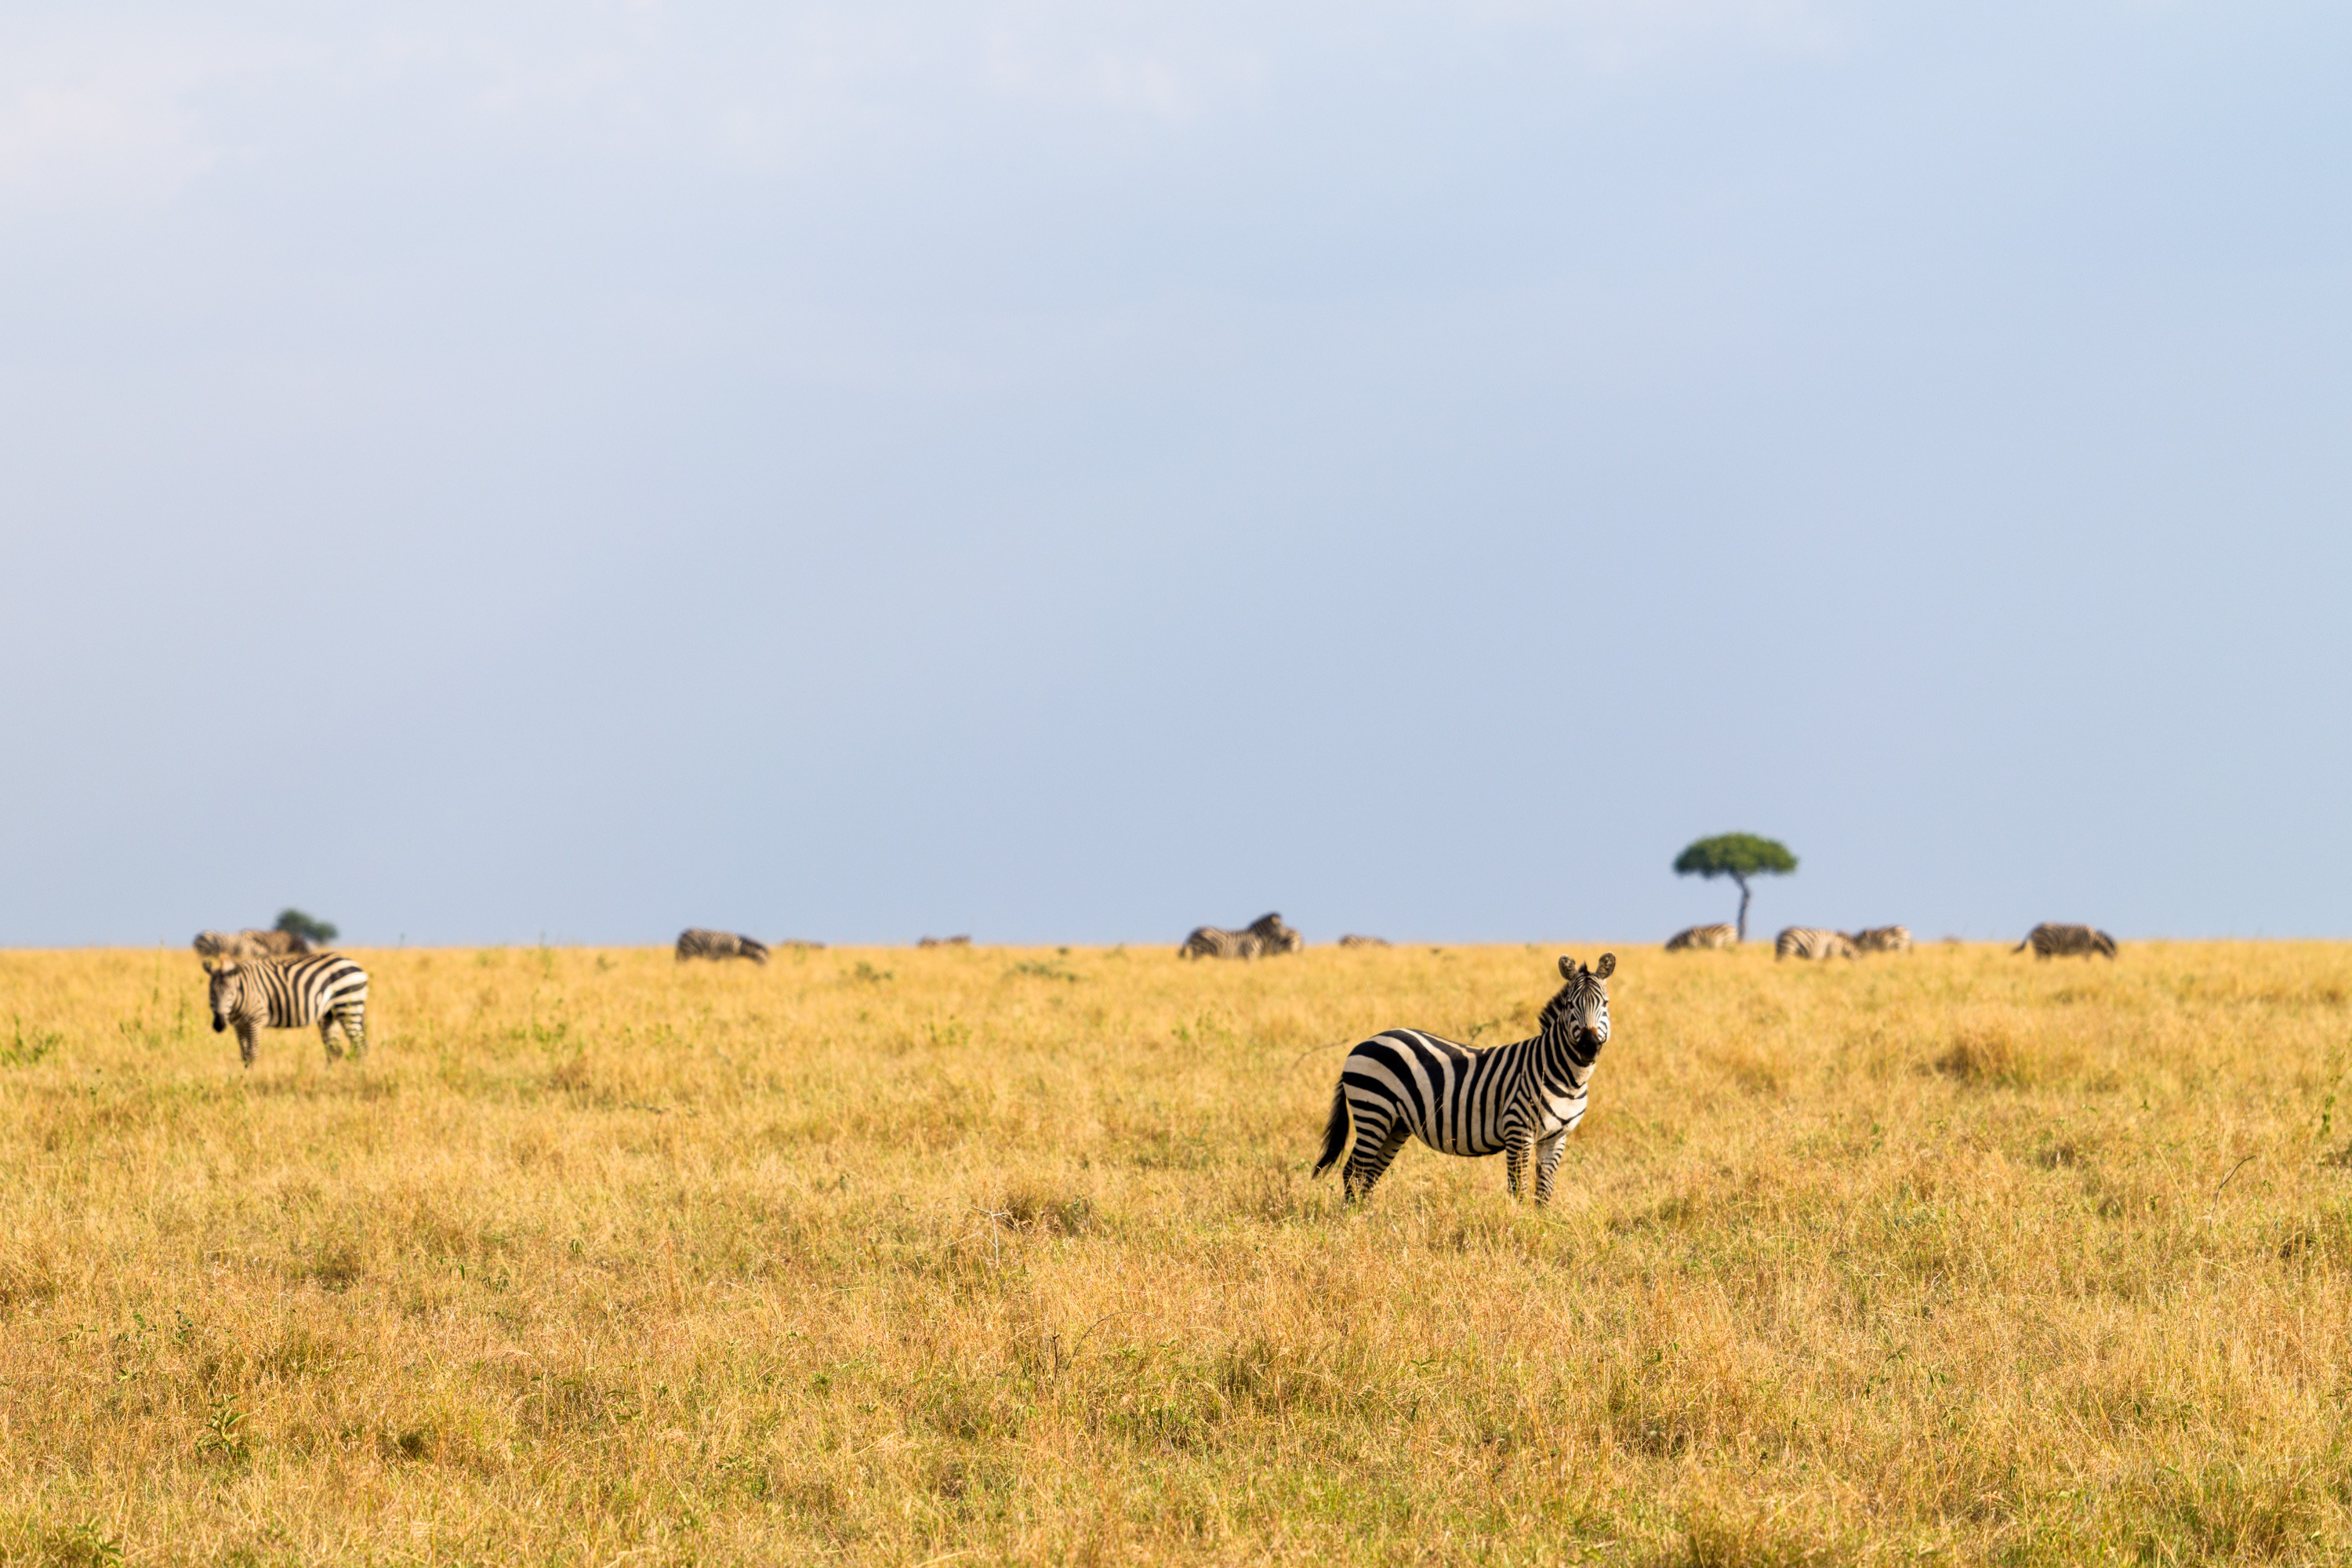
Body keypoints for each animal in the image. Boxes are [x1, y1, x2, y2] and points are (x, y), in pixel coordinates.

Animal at [205, 952, 368, 1068]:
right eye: (211, 993)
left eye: (231, 993)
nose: (219, 1025)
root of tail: (357, 966)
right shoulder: (239, 1025)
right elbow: (244, 1056)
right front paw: (243, 1078)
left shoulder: (255, 1021)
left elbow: (252, 1054)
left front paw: (249, 1081)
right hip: (329, 1015)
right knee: (335, 1051)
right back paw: (328, 1076)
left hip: (349, 1007)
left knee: (360, 1047)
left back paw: (359, 1076)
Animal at [1180, 912, 1300, 959]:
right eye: (1281, 926)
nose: (1291, 933)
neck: (1257, 936)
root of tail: (1192, 932)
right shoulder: (1249, 954)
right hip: (1198, 951)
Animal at [1314, 954, 1615, 1206]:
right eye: (1570, 1005)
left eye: (1605, 1004)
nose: (1588, 1047)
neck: (1566, 1077)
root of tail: (1363, 1043)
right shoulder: (1518, 1129)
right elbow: (1518, 1189)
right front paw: (1520, 1225)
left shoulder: (1556, 1137)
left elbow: (1544, 1192)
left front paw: (1540, 1227)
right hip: (1373, 1111)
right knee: (1353, 1171)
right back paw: (1353, 1221)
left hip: (1395, 1124)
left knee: (1369, 1174)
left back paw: (1367, 1217)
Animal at [2014, 923, 2116, 960]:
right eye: (2113, 959)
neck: (2094, 939)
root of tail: (2033, 929)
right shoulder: (2085, 949)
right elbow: (2087, 962)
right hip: (2040, 947)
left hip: (2046, 950)